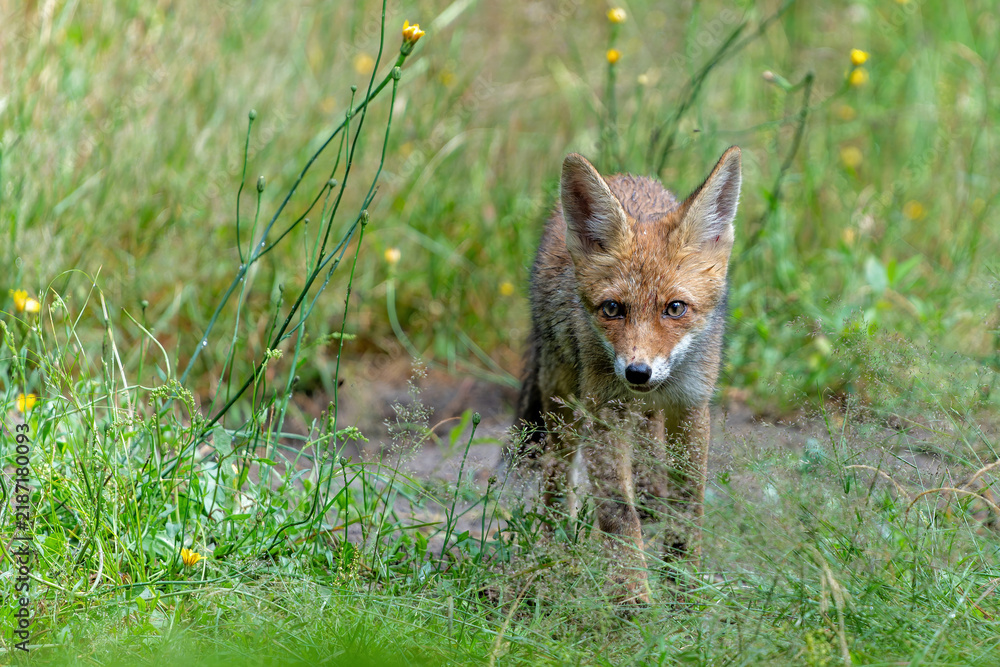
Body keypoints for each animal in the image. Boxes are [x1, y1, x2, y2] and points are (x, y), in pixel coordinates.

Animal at [515, 146, 741, 604]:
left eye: (675, 308)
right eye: (612, 309)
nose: (637, 373)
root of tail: (625, 176)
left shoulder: (691, 406)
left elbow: (689, 504)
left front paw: (683, 585)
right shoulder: (605, 411)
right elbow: (618, 514)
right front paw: (632, 598)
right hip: (563, 404)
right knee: (556, 477)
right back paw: (556, 551)